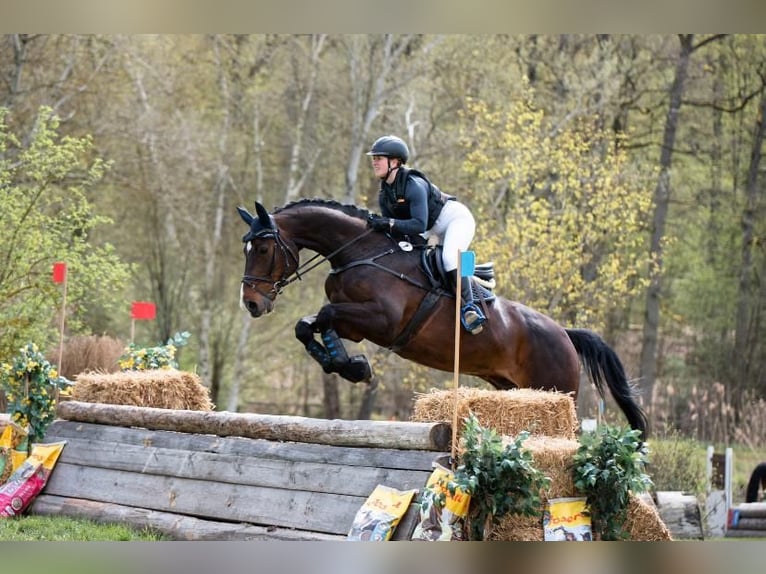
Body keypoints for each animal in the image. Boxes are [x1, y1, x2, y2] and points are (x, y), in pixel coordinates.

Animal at [238, 198, 648, 436]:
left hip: (557, 391)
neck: (360, 253)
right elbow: (308, 325)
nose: (252, 304)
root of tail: (563, 332)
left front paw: (351, 365)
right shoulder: (354, 324)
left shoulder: (381, 321)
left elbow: (323, 314)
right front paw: (347, 364)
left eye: (263, 249)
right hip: (512, 387)